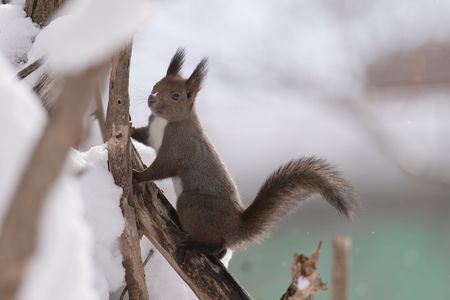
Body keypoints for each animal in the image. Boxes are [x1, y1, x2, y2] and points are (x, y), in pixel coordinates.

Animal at [131, 48, 358, 262]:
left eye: (176, 96)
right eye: (155, 85)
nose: (151, 99)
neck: (165, 121)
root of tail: (236, 227)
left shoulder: (180, 145)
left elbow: (165, 166)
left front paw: (138, 175)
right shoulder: (152, 133)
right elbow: (144, 136)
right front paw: (129, 129)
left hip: (194, 206)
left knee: (217, 242)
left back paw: (196, 246)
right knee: (222, 248)